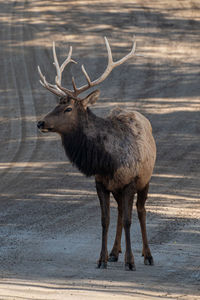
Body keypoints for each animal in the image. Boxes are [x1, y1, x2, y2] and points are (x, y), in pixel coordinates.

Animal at [37, 36, 156, 270]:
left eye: (68, 109)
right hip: (117, 189)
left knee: (140, 211)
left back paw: (147, 255)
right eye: (56, 104)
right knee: (120, 212)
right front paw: (102, 259)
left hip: (145, 180)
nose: (41, 122)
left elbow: (129, 220)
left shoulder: (130, 182)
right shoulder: (101, 183)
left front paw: (131, 262)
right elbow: (105, 220)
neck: (107, 162)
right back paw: (114, 252)